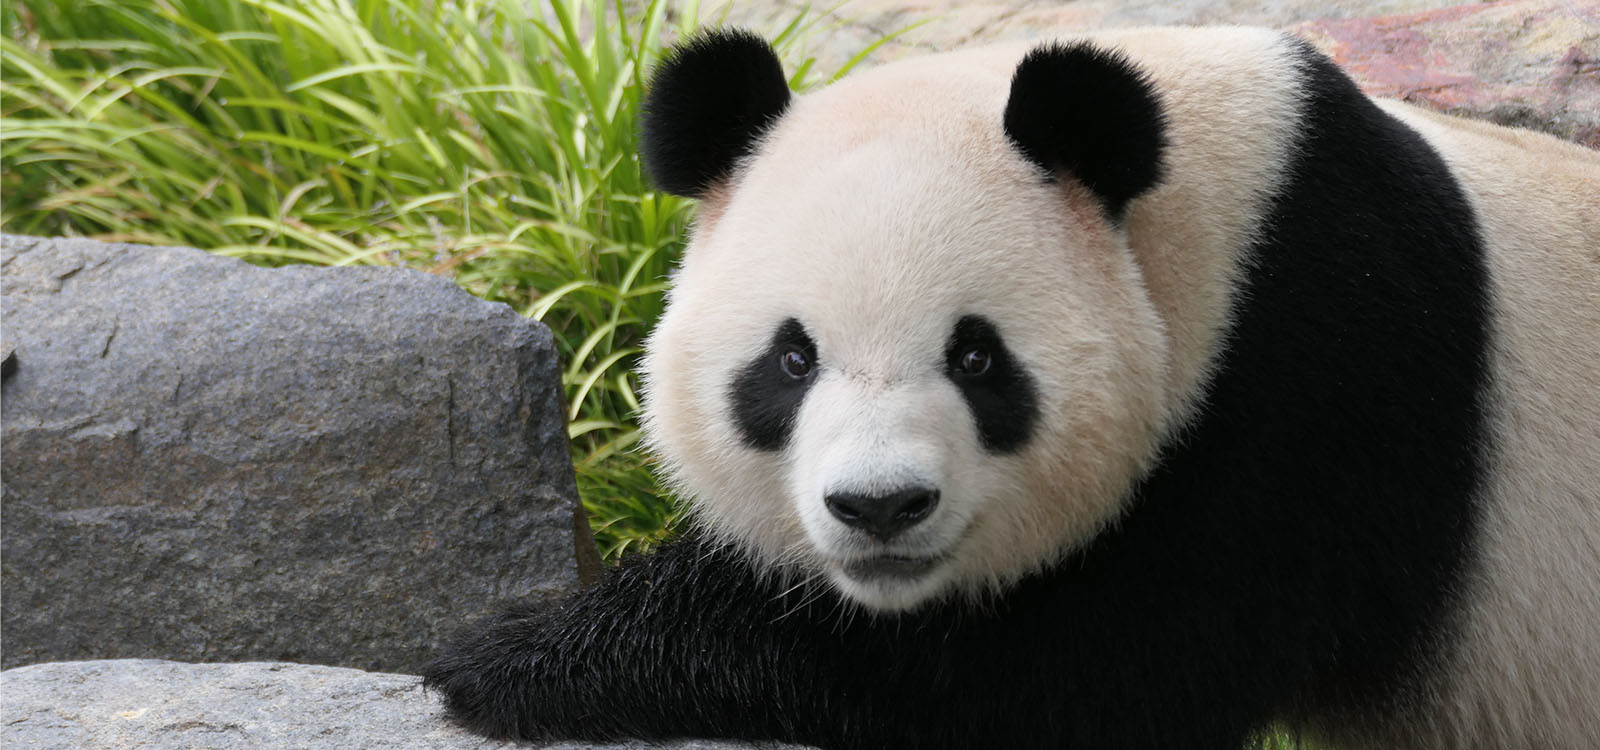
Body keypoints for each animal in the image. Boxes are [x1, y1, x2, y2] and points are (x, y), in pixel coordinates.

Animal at [426, 26, 1600, 749]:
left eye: (977, 358)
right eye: (792, 361)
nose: (881, 508)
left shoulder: (1316, 381)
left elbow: (1074, 677)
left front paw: (510, 658)